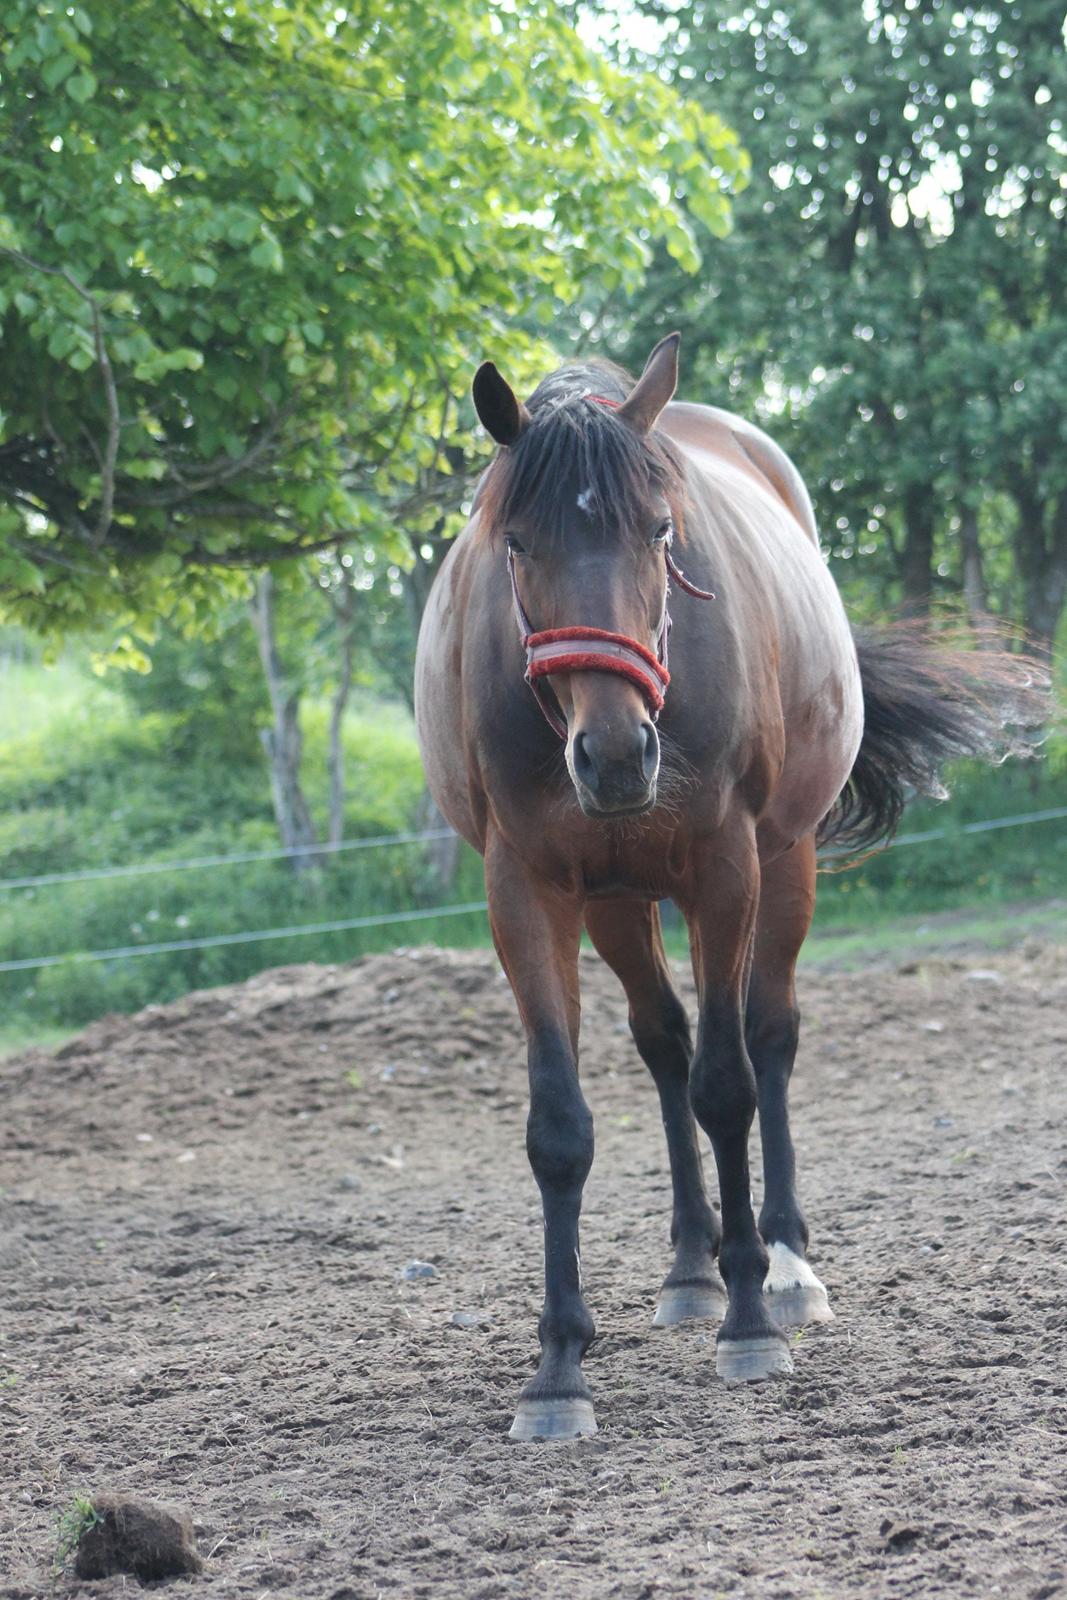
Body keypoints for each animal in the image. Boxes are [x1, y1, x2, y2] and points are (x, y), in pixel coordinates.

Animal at [412, 334, 1049, 1440]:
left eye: (659, 531)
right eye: (516, 542)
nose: (616, 756)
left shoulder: (724, 865)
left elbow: (729, 1084)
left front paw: (751, 1320)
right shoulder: (525, 886)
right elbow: (561, 1126)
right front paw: (558, 1365)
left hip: (782, 863)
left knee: (764, 1035)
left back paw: (780, 1263)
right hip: (618, 900)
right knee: (663, 1042)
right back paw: (688, 1265)